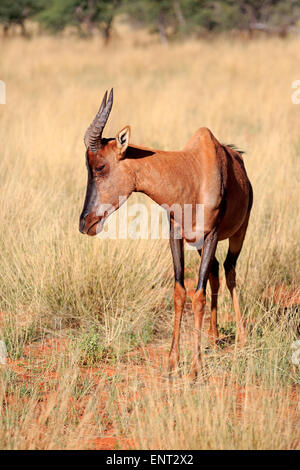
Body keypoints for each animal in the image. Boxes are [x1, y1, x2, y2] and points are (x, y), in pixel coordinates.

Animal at [78, 90, 252, 380]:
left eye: (100, 166)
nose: (85, 223)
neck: (193, 171)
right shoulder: (176, 236)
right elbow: (180, 292)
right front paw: (173, 362)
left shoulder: (213, 234)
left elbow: (198, 296)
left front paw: (195, 369)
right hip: (200, 244)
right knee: (216, 271)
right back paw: (214, 336)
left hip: (239, 232)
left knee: (230, 271)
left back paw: (242, 338)